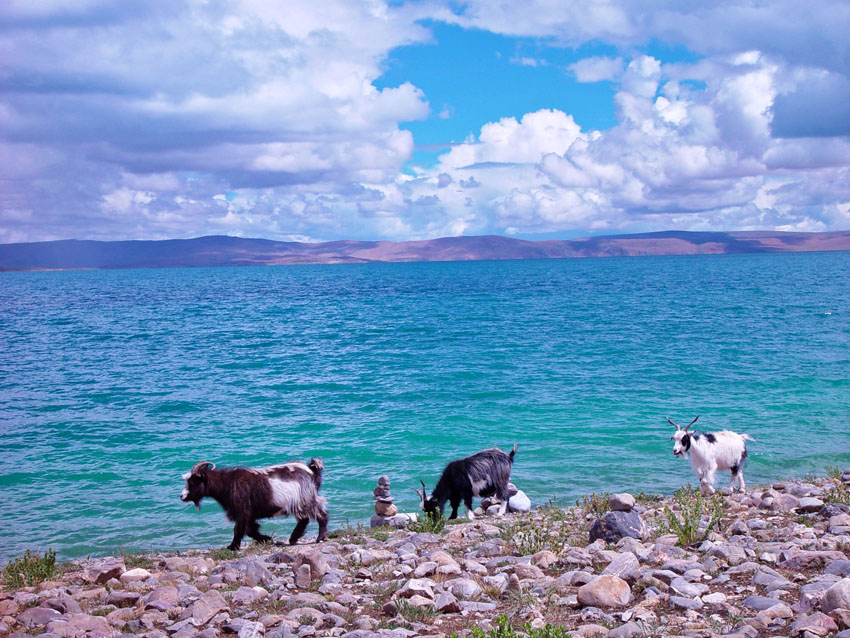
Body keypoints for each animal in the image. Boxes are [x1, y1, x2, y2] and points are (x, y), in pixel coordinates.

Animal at [182, 460, 328, 552]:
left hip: (306, 499)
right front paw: (267, 539)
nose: (182, 496)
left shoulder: (242, 511)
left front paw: (232, 546)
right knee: (304, 519)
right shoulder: (249, 515)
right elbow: (250, 530)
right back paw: (293, 539)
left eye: (193, 482)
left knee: (321, 514)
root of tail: (311, 470)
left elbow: (239, 530)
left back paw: (320, 538)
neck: (227, 484)